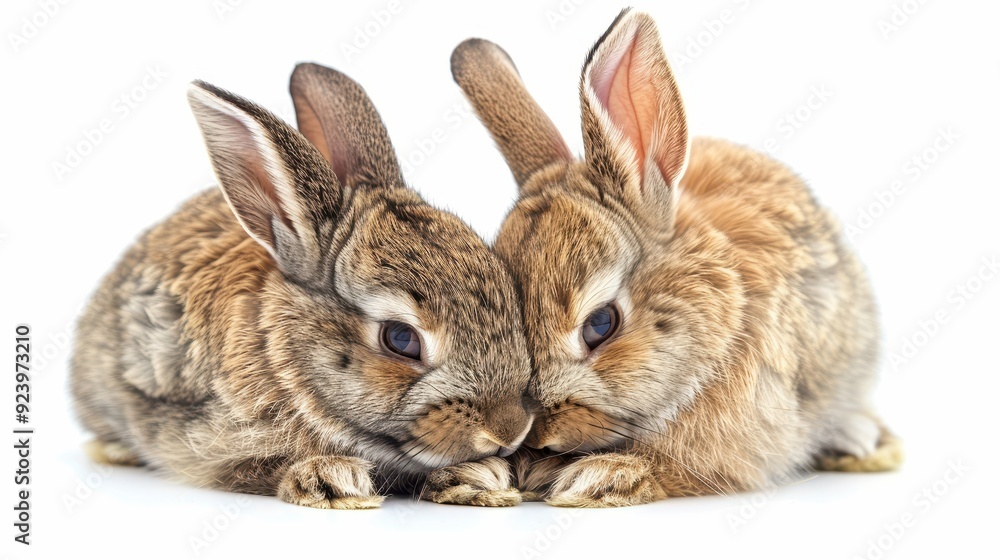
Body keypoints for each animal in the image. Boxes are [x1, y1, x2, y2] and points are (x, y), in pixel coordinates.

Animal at [70, 62, 535, 509]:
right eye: (401, 339)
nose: (508, 432)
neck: (287, 360)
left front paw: (482, 478)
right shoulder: (205, 444)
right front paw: (332, 479)